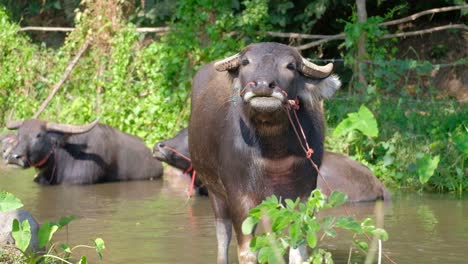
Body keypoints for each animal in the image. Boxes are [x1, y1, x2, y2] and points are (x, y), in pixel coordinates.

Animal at [188, 42, 342, 262]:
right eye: (245, 62)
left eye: (291, 66)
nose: (262, 85)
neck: (274, 153)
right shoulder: (239, 195)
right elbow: (248, 251)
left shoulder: (303, 193)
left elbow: (298, 250)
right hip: (214, 191)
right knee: (223, 235)